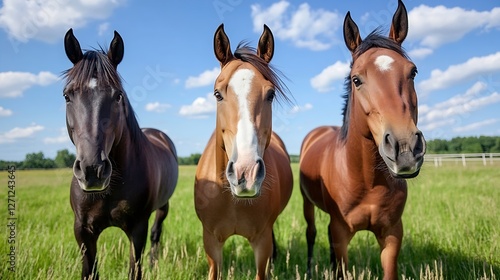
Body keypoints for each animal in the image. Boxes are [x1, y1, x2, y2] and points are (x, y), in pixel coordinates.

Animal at [63, 29, 178, 280]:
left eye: (118, 96)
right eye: (67, 96)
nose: (92, 171)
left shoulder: (137, 229)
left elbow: (135, 269)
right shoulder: (82, 231)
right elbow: (90, 272)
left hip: (163, 206)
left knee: (157, 233)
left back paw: (155, 264)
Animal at [298, 1, 424, 278]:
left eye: (413, 72)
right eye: (356, 79)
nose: (405, 149)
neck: (367, 181)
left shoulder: (392, 234)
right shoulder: (341, 232)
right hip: (307, 203)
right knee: (311, 233)